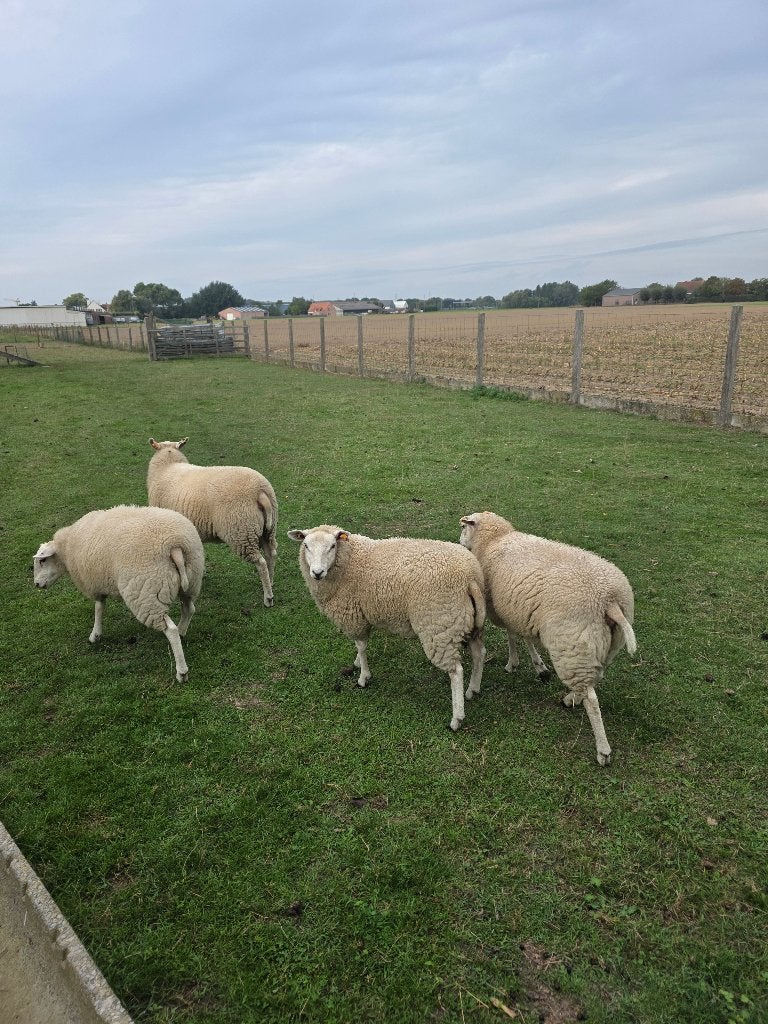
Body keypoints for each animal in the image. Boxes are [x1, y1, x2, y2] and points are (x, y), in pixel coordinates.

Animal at [33, 505, 205, 682]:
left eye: (42, 560)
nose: (36, 584)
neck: (66, 549)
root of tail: (175, 547)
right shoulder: (99, 582)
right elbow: (100, 607)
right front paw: (96, 634)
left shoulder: (95, 584)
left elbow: (98, 608)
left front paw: (95, 635)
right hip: (191, 582)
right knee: (188, 609)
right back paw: (182, 632)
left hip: (147, 592)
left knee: (170, 630)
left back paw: (181, 672)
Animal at [147, 437, 277, 607]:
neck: (168, 465)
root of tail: (260, 492)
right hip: (267, 529)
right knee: (271, 555)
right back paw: (271, 582)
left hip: (241, 531)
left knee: (260, 562)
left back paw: (268, 597)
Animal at [287, 525, 486, 731]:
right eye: (306, 545)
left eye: (332, 546)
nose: (317, 572)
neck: (350, 560)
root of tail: (471, 577)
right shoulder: (362, 615)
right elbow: (360, 646)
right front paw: (357, 663)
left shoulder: (354, 616)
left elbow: (361, 646)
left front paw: (363, 677)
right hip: (468, 622)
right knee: (480, 653)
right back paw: (473, 689)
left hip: (439, 625)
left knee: (456, 671)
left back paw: (456, 718)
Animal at [459, 511, 636, 766]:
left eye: (463, 527)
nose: (459, 542)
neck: (494, 541)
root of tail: (609, 600)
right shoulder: (518, 609)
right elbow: (523, 636)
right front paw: (538, 667)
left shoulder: (505, 609)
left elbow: (514, 636)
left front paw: (514, 663)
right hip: (602, 645)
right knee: (593, 679)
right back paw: (571, 698)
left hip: (571, 645)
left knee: (592, 699)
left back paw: (602, 750)